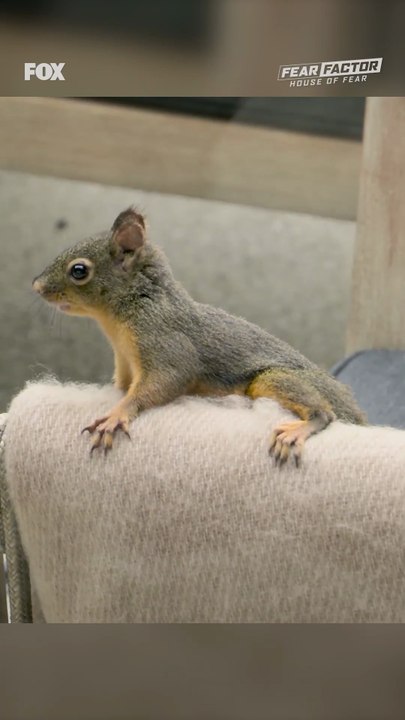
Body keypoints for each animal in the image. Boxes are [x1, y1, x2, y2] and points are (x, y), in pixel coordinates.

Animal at [33, 207, 367, 465]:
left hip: (276, 378)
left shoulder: (165, 340)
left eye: (79, 271)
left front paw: (116, 415)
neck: (119, 319)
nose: (36, 287)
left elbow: (164, 382)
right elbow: (124, 387)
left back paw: (299, 429)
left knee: (325, 414)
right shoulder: (125, 364)